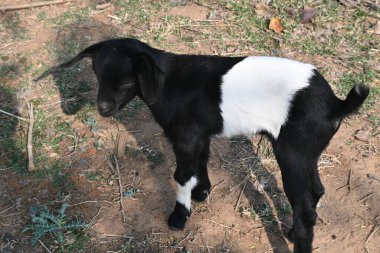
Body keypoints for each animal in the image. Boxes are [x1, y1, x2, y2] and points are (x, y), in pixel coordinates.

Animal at [37, 38, 368, 253]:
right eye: (97, 74)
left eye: (126, 82)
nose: (103, 109)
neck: (168, 81)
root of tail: (336, 104)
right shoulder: (198, 135)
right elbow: (200, 163)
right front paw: (202, 193)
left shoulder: (185, 136)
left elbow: (182, 175)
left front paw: (179, 217)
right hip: (307, 154)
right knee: (316, 192)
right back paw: (290, 229)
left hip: (293, 154)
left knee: (304, 210)